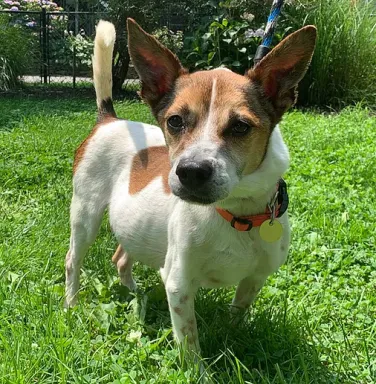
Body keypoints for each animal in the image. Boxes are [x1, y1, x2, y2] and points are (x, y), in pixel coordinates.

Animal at [65, 18, 318, 354]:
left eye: (240, 126)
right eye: (174, 121)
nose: (191, 172)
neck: (236, 214)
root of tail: (109, 119)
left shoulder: (254, 279)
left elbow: (237, 315)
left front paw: (230, 340)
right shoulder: (179, 285)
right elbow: (189, 343)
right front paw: (198, 365)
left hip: (135, 224)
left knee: (120, 257)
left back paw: (135, 294)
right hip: (85, 214)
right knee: (73, 260)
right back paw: (71, 304)